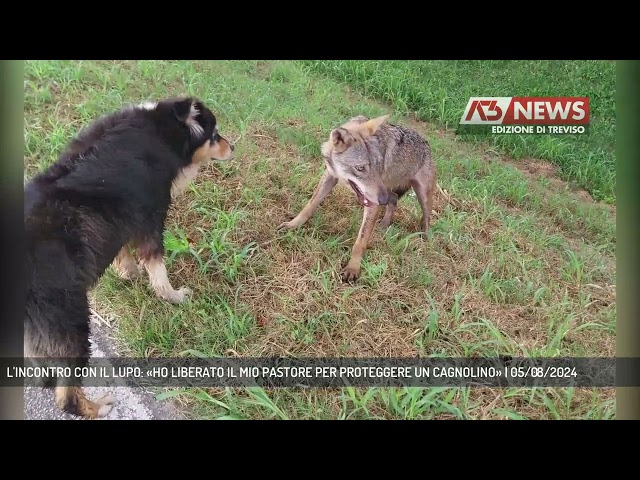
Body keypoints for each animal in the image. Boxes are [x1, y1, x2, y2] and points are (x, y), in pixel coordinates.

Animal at [25, 96, 236, 416]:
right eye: (214, 135)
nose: (232, 147)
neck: (160, 129)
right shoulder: (152, 213)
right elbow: (157, 265)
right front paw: (173, 296)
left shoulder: (124, 215)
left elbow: (123, 249)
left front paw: (128, 271)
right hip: (68, 316)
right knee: (66, 395)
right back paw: (98, 408)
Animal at [278, 113, 438, 282]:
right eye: (360, 168)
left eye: (378, 166)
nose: (382, 200)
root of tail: (427, 143)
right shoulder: (330, 176)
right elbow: (309, 206)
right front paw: (292, 225)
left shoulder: (373, 203)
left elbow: (361, 241)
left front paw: (353, 269)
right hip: (390, 190)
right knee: (394, 201)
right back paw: (384, 224)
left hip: (421, 195)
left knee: (426, 218)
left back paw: (426, 238)